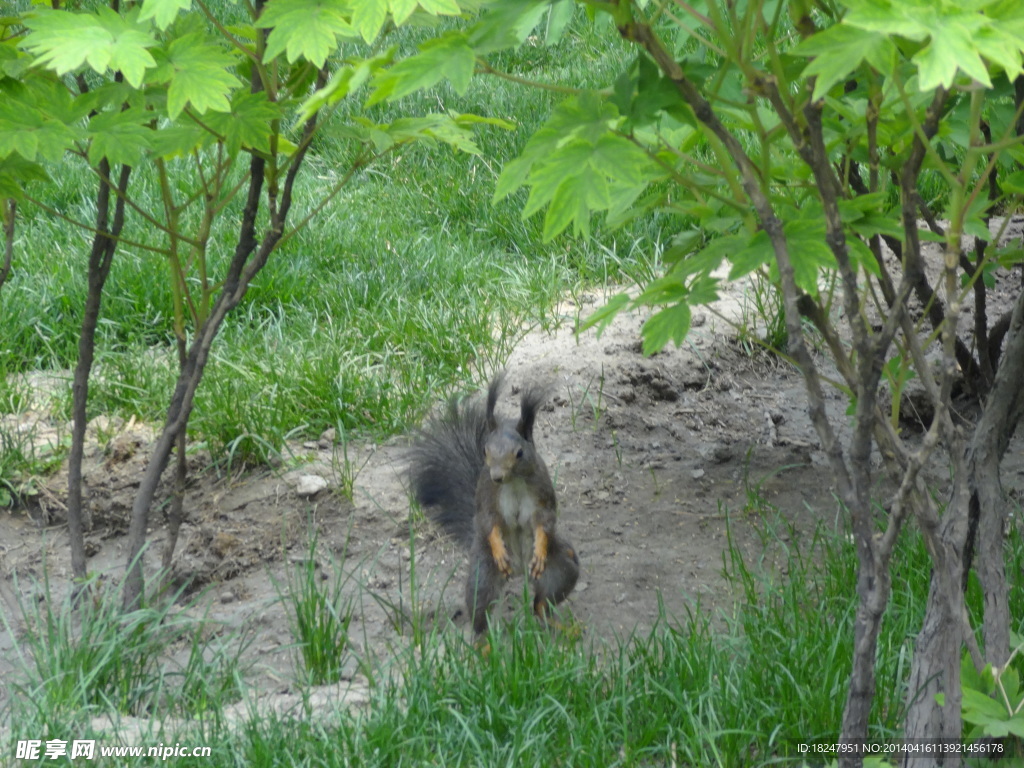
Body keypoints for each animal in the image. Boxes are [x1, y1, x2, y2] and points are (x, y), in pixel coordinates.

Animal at [409, 374, 585, 638]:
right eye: (485, 450)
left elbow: (544, 522)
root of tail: (520, 570)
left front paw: (540, 550)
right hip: (483, 573)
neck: (513, 482)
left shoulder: (542, 494)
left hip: (562, 568)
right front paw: (499, 549)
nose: (497, 476)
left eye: (520, 453)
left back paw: (562, 627)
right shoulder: (486, 495)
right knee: (480, 612)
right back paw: (483, 642)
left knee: (541, 604)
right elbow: (489, 521)